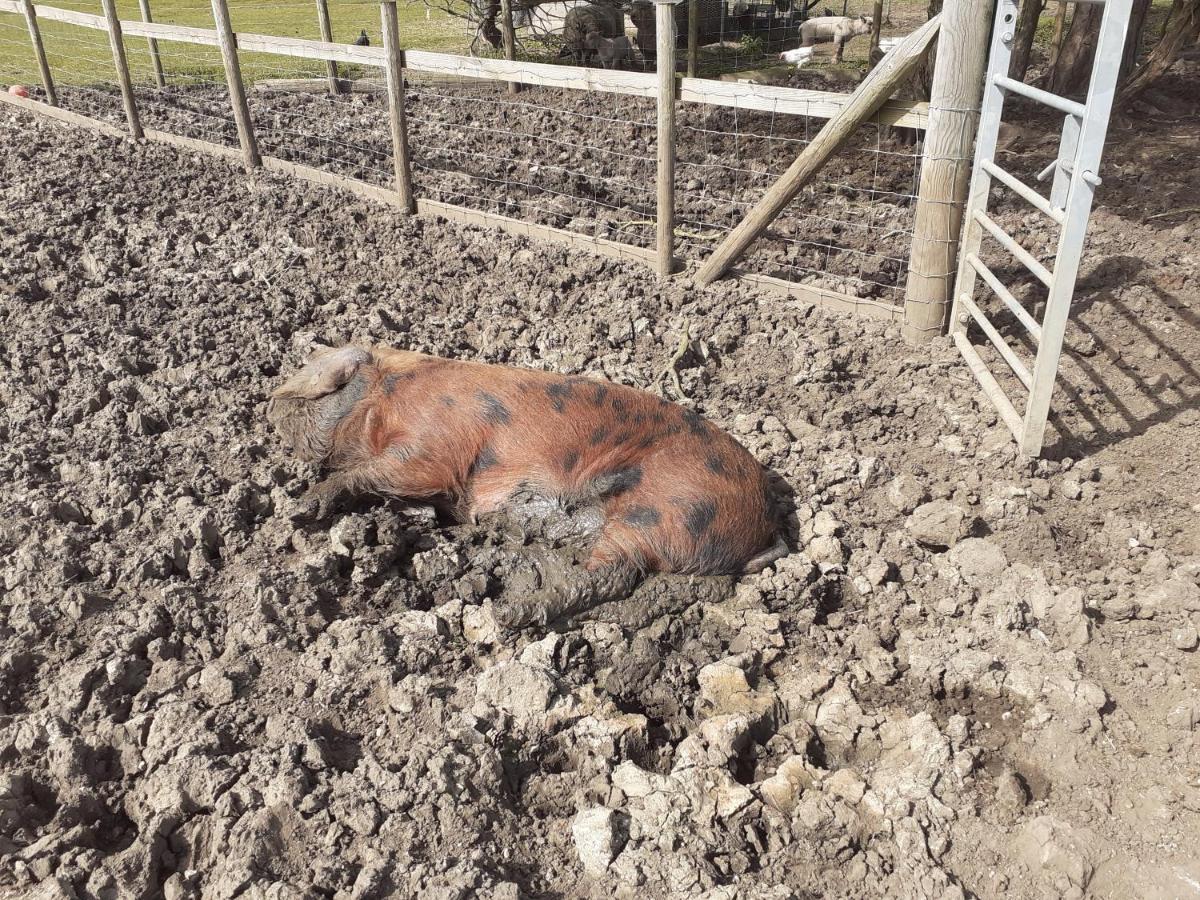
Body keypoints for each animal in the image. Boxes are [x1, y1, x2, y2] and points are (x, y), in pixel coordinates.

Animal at [273, 345, 792, 628]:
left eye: (322, 387)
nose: (269, 403)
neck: (386, 396)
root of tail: (763, 527)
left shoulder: (431, 446)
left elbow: (387, 470)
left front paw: (299, 510)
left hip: (663, 509)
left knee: (614, 574)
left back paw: (510, 613)